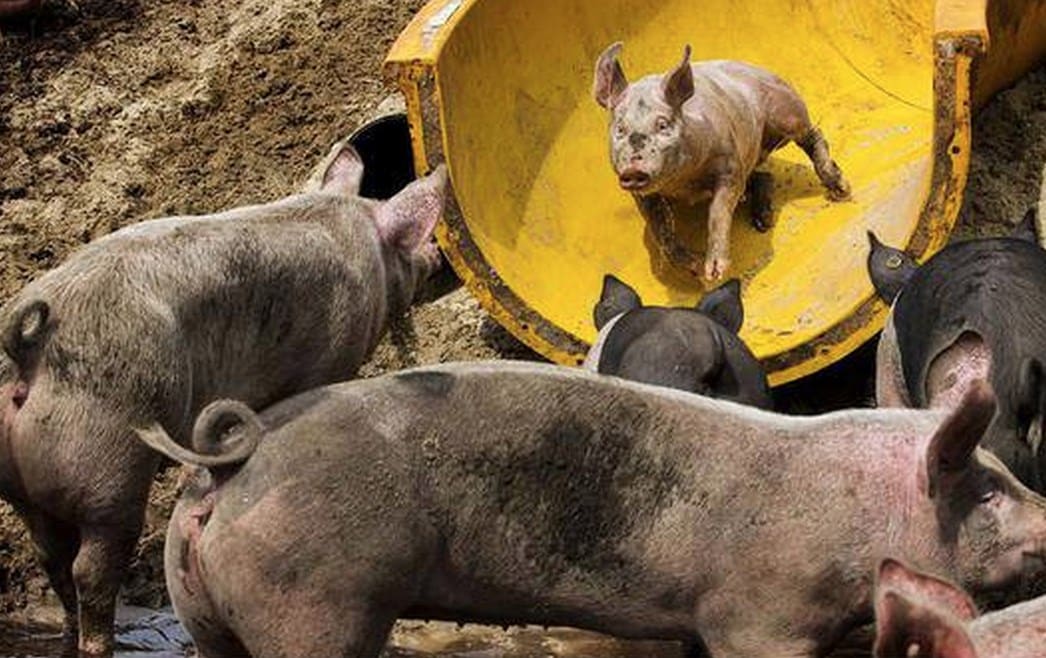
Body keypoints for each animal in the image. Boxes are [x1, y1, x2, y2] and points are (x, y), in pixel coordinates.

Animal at [0, 143, 448, 656]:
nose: (438, 255)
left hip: (22, 483)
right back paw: (102, 643)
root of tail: (29, 347)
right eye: (412, 243)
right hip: (108, 465)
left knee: (52, 559)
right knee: (89, 568)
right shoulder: (331, 358)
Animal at [593, 43, 851, 281]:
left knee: (812, 136)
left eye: (662, 124)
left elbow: (718, 211)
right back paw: (763, 221)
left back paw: (841, 191)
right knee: (764, 175)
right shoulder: (643, 195)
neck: (685, 182)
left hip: (787, 112)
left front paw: (714, 272)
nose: (633, 170)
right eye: (620, 128)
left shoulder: (730, 165)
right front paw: (696, 268)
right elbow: (662, 231)